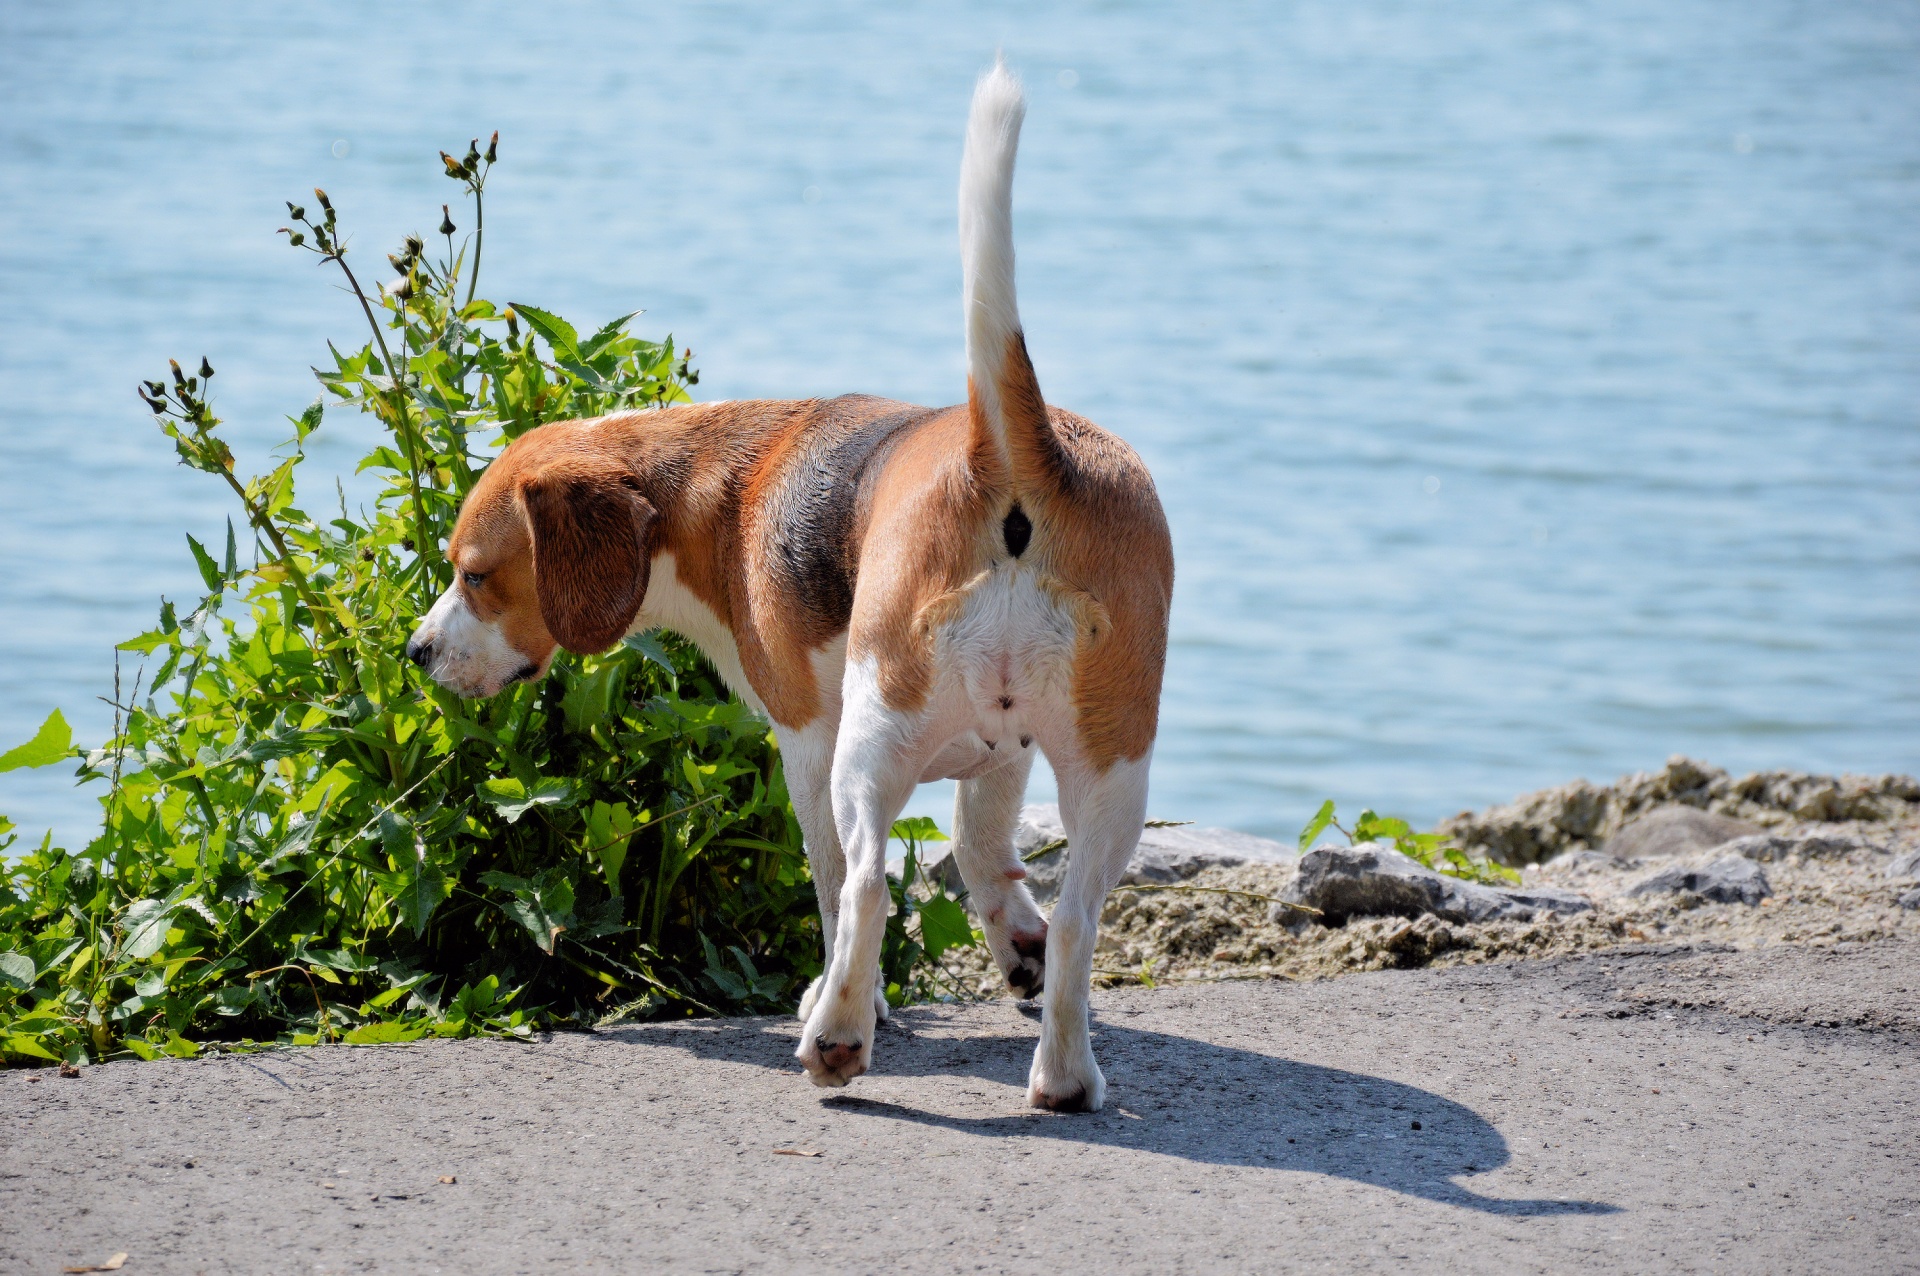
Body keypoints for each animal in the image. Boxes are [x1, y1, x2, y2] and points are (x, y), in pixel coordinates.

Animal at [408, 64, 1167, 1112]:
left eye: (474, 575)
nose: (416, 652)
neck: (712, 488)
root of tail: (1012, 452)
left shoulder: (805, 742)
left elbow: (832, 877)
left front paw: (857, 998)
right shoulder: (1004, 748)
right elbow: (983, 850)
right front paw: (1017, 945)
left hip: (869, 740)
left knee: (866, 884)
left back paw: (836, 1036)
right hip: (1114, 765)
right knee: (1082, 917)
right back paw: (1062, 1073)